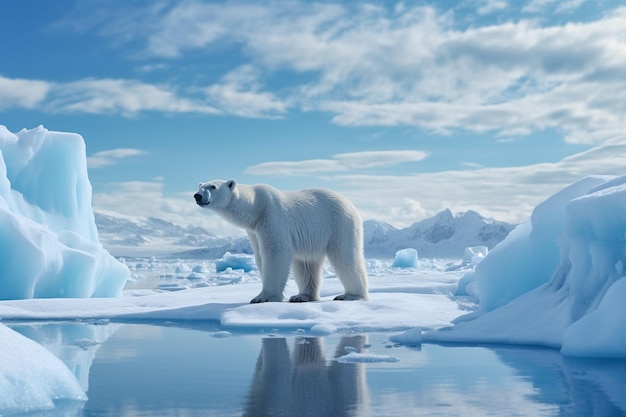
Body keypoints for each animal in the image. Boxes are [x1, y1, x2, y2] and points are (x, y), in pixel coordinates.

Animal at [194, 179, 366, 302]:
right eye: (201, 185)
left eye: (213, 186)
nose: (197, 196)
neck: (255, 207)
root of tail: (350, 203)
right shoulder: (254, 230)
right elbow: (260, 256)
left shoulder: (272, 216)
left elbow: (275, 252)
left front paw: (263, 297)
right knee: (306, 263)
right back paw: (302, 296)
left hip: (339, 224)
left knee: (345, 256)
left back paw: (351, 295)